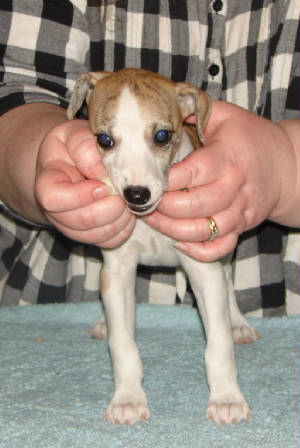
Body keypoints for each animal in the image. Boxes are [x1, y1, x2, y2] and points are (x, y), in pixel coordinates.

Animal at [67, 68, 258, 426]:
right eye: (105, 140)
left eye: (162, 135)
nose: (136, 195)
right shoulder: (118, 270)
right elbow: (123, 344)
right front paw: (127, 398)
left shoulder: (203, 267)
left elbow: (218, 344)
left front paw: (227, 398)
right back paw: (103, 322)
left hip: (223, 250)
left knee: (228, 285)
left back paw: (239, 323)